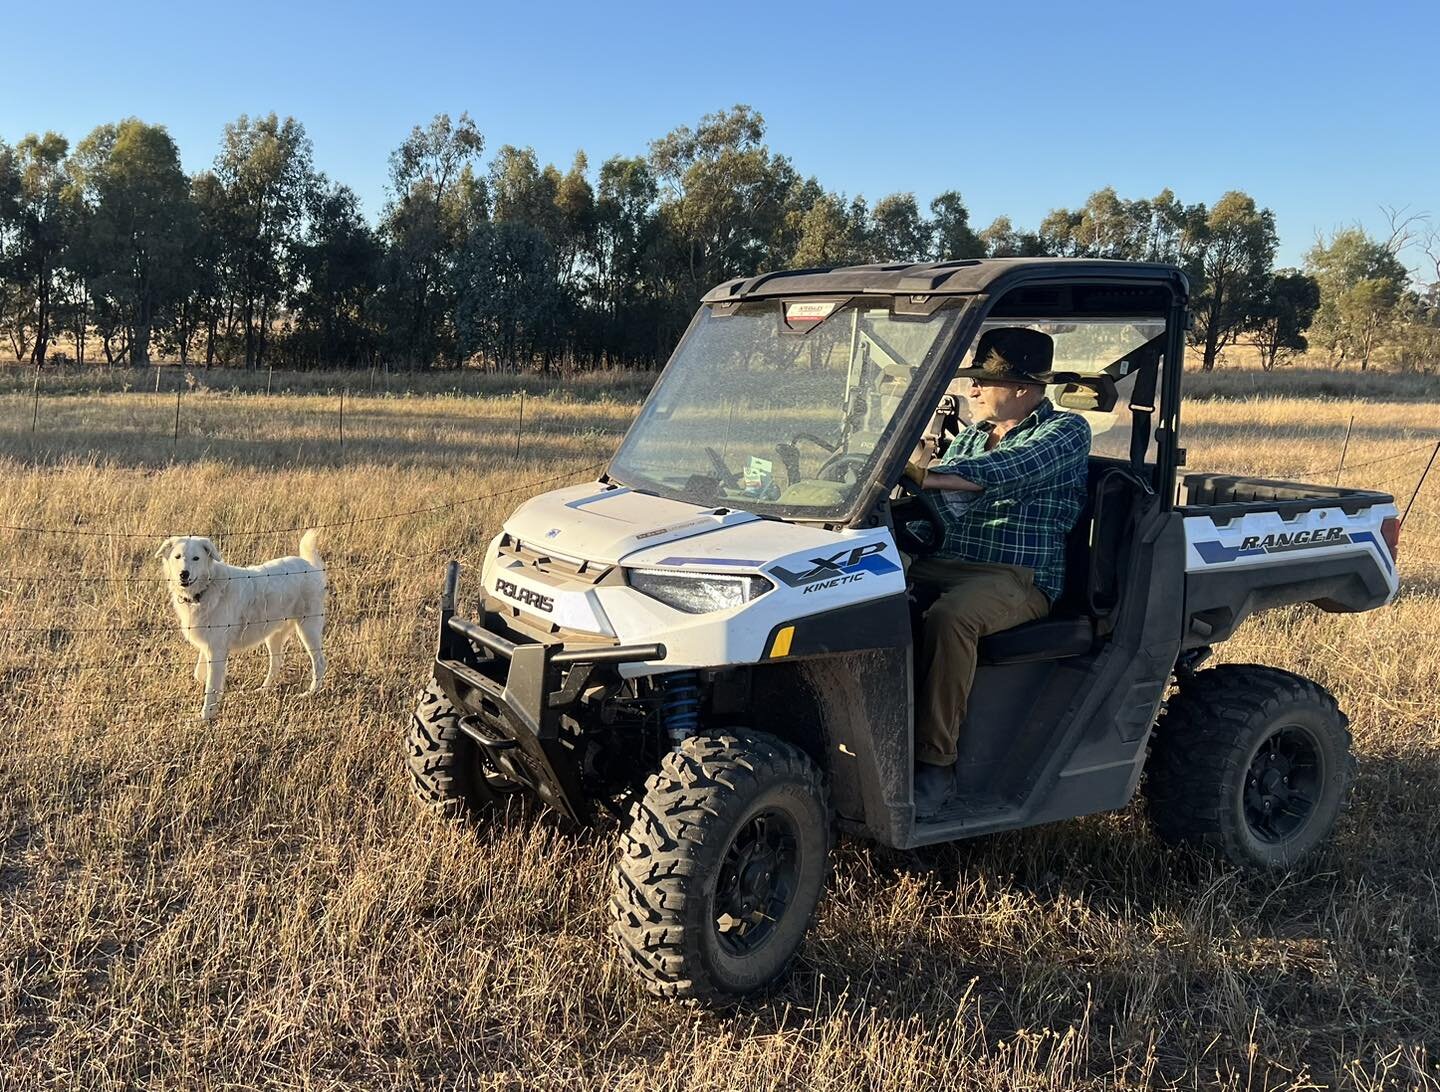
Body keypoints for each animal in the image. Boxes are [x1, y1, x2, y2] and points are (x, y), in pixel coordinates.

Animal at [159, 533, 328, 723]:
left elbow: (210, 686)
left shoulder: (216, 650)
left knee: (319, 663)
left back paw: (310, 693)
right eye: (177, 557)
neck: (206, 588)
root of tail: (310, 566)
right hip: (274, 635)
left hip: (308, 629)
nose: (184, 574)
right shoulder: (209, 645)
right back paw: (263, 690)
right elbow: (201, 675)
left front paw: (206, 716)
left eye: (196, 558)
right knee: (277, 663)